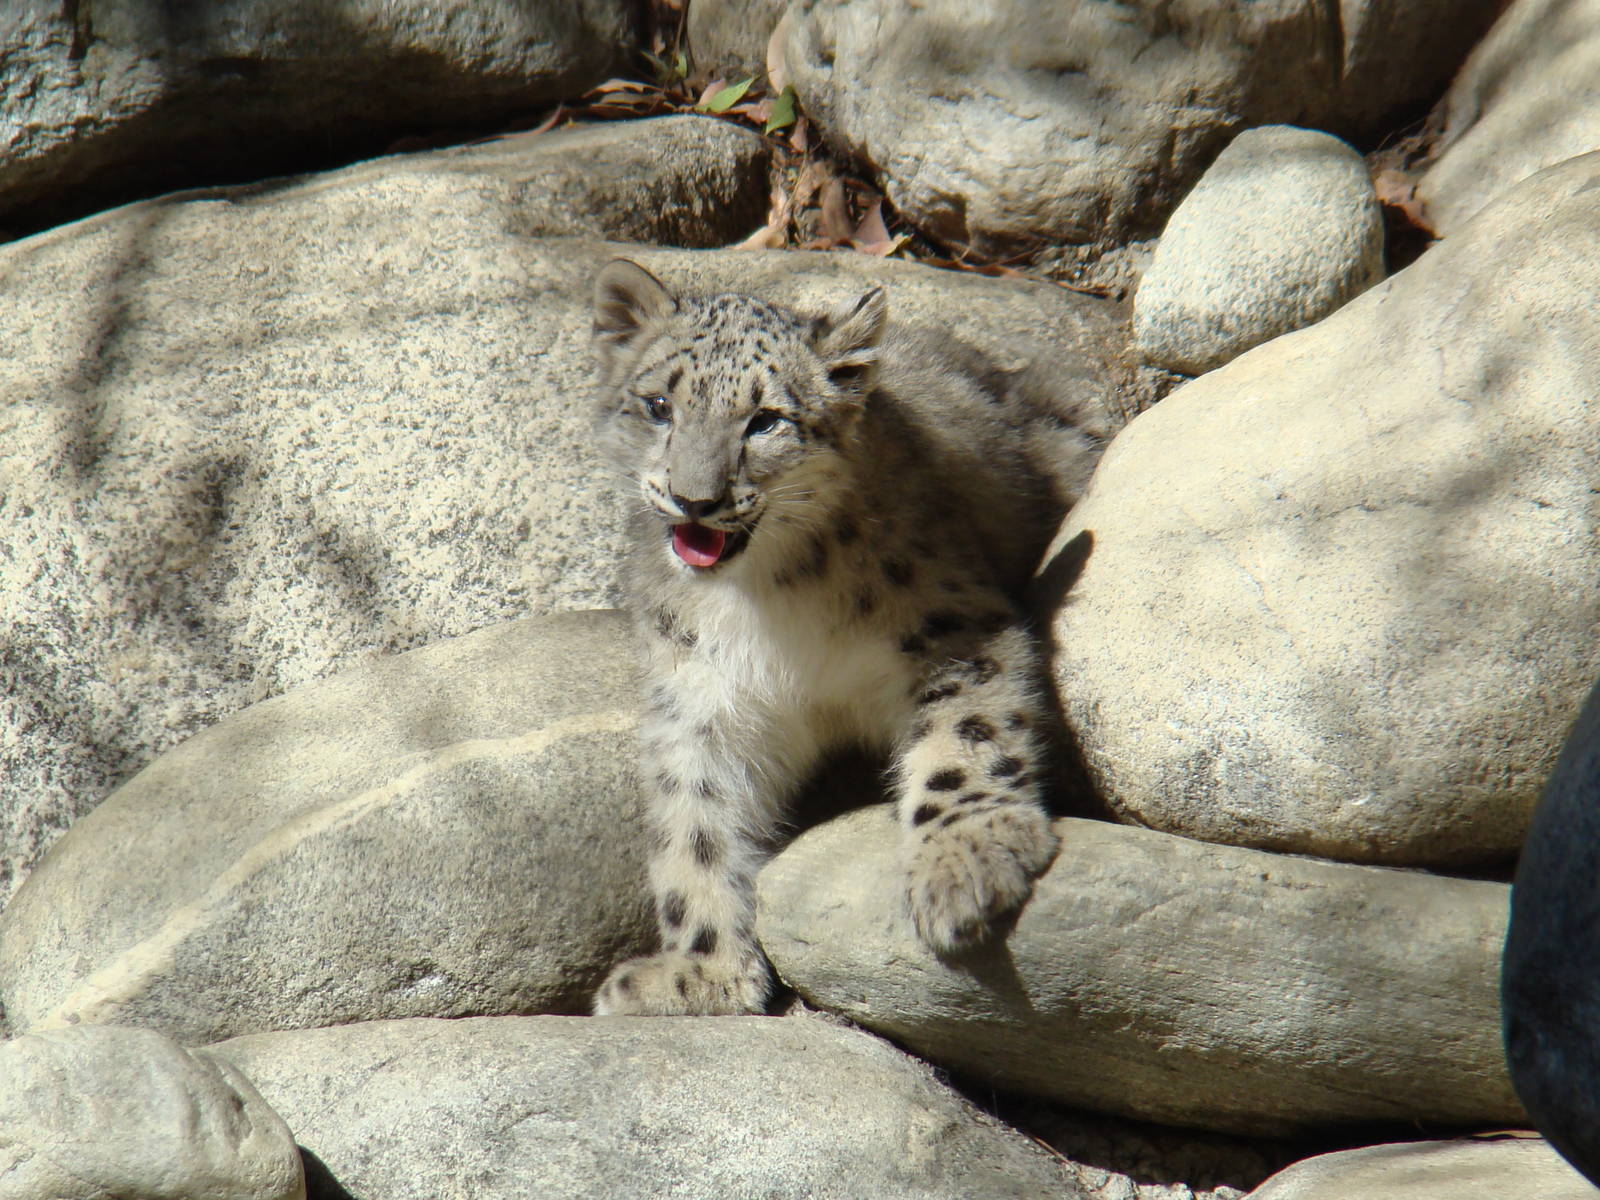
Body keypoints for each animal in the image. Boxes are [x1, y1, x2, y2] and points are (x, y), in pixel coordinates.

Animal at [588, 258, 1104, 1015]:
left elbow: (963, 735)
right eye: (658, 405)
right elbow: (694, 824)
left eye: (765, 420)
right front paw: (705, 973)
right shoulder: (702, 704)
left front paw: (962, 864)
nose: (695, 499)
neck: (766, 602)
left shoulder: (953, 630)